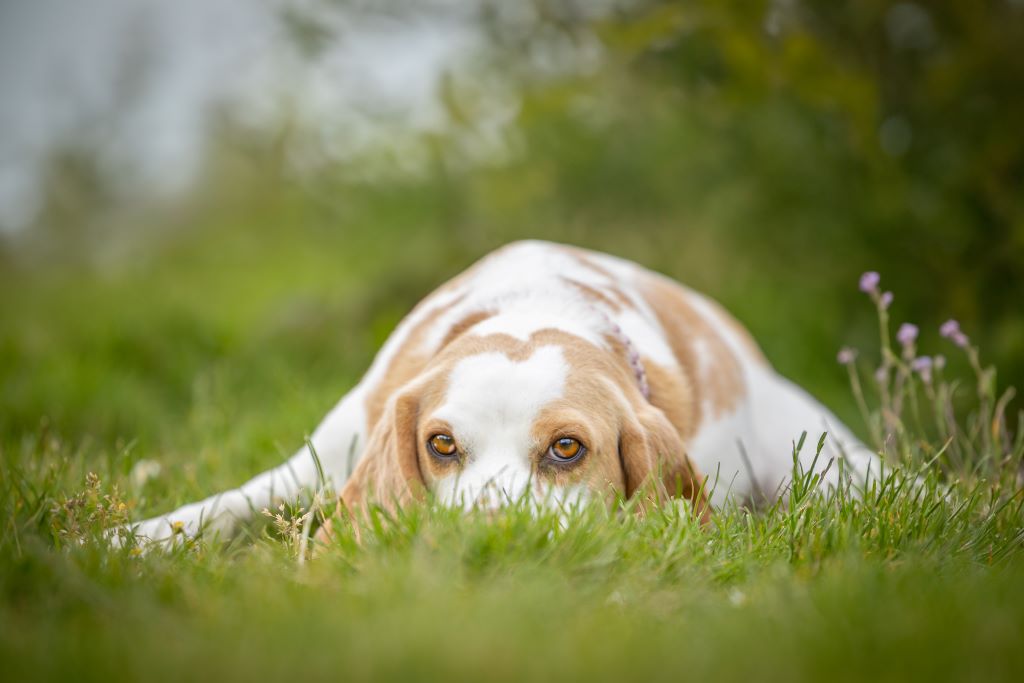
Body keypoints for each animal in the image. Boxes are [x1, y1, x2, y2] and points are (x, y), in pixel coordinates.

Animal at [123, 240, 880, 544]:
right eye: (441, 444)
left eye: (567, 448)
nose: (486, 530)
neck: (534, 306)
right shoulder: (324, 459)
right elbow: (219, 508)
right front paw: (129, 540)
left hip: (842, 469)